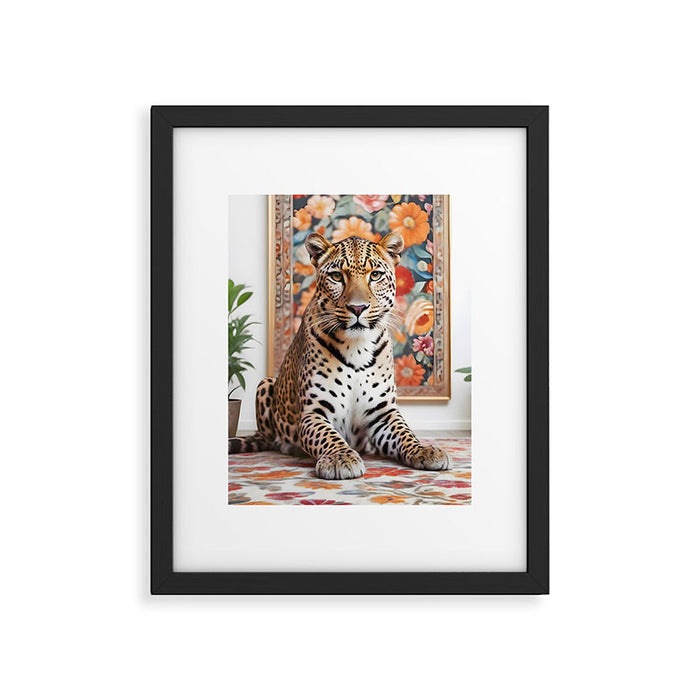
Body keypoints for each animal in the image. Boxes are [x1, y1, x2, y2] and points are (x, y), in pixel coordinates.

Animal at [228, 230, 452, 480]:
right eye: (336, 276)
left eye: (375, 275)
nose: (358, 308)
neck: (357, 348)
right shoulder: (314, 412)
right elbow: (327, 436)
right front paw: (340, 459)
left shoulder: (383, 412)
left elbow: (405, 433)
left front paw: (424, 450)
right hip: (265, 383)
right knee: (270, 438)